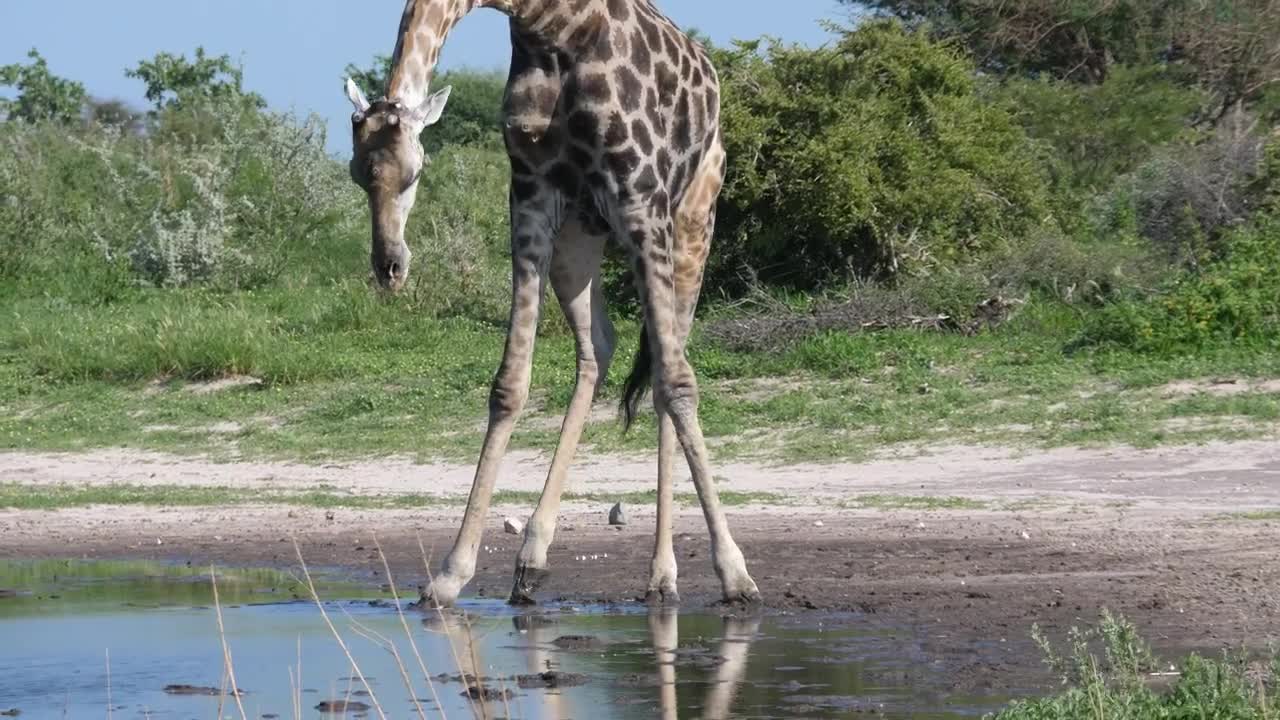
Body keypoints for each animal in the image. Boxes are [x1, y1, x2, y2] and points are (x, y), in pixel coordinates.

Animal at [343, 0, 760, 607]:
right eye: (356, 174)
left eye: (415, 172)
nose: (389, 266)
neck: (552, 25)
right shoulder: (531, 192)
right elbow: (509, 384)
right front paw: (449, 574)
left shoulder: (641, 199)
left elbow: (677, 385)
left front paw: (736, 573)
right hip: (578, 239)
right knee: (600, 347)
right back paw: (533, 559)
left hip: (691, 220)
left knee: (669, 371)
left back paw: (663, 575)